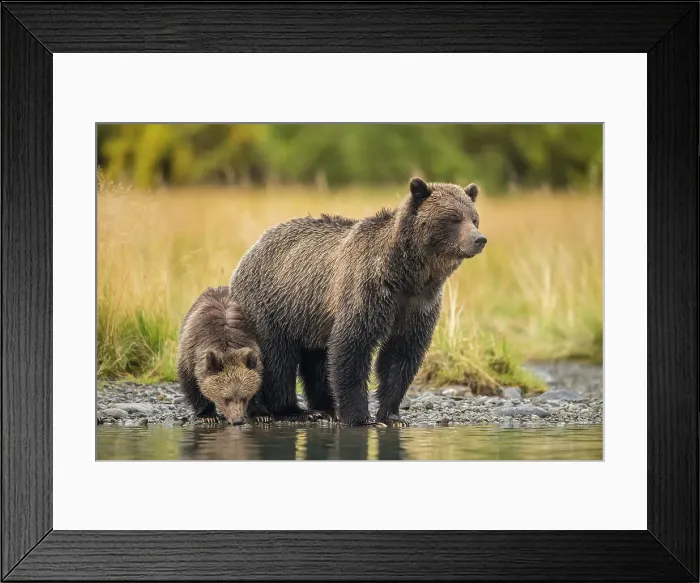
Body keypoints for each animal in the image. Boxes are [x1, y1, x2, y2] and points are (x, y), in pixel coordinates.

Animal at [177, 286, 269, 425]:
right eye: (226, 398)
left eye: (244, 397)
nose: (237, 421)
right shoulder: (191, 351)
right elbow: (193, 385)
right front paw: (208, 415)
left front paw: (260, 415)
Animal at [229, 178, 486, 426]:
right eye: (453, 218)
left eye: (474, 218)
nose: (479, 239)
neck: (408, 275)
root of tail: (251, 249)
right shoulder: (367, 292)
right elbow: (352, 346)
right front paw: (359, 417)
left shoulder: (419, 304)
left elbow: (401, 356)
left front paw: (392, 416)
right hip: (271, 305)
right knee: (277, 359)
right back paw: (291, 411)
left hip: (311, 314)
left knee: (317, 360)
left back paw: (325, 409)